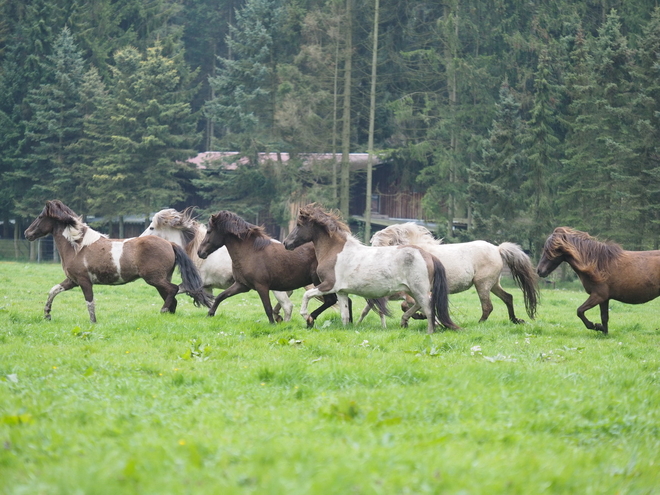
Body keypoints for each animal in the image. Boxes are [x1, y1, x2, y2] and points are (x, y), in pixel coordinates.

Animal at [25, 200, 211, 324]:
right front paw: (47, 314)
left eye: (40, 216)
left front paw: (93, 323)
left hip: (155, 279)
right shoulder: (72, 281)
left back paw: (163, 311)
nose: (27, 233)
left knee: (173, 291)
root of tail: (170, 244)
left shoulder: (84, 282)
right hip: (160, 280)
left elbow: (90, 303)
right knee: (173, 297)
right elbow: (53, 290)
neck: (78, 246)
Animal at [141, 208, 296, 322]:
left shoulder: (193, 285)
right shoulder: (207, 287)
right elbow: (212, 301)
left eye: (152, 227)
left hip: (276, 289)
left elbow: (175, 290)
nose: (140, 239)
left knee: (288, 306)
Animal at [196, 211, 350, 328]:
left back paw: (311, 319)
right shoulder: (242, 285)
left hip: (320, 282)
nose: (200, 252)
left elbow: (268, 307)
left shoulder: (261, 286)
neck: (250, 252)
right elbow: (220, 297)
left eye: (209, 231)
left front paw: (273, 324)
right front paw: (209, 314)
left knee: (331, 300)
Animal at [284, 203, 458, 336]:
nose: (286, 243)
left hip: (419, 290)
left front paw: (307, 317)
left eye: (299, 225)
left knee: (428, 309)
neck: (335, 251)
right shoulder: (341, 292)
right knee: (418, 305)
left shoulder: (328, 285)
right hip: (412, 291)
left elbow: (306, 296)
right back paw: (405, 321)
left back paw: (429, 332)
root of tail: (428, 255)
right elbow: (344, 315)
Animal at [368, 222, 540, 324]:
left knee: (488, 306)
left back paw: (479, 323)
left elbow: (407, 305)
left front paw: (420, 316)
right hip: (493, 284)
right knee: (508, 298)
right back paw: (514, 320)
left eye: (379, 244)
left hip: (482, 284)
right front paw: (420, 316)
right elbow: (407, 305)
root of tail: (498, 249)